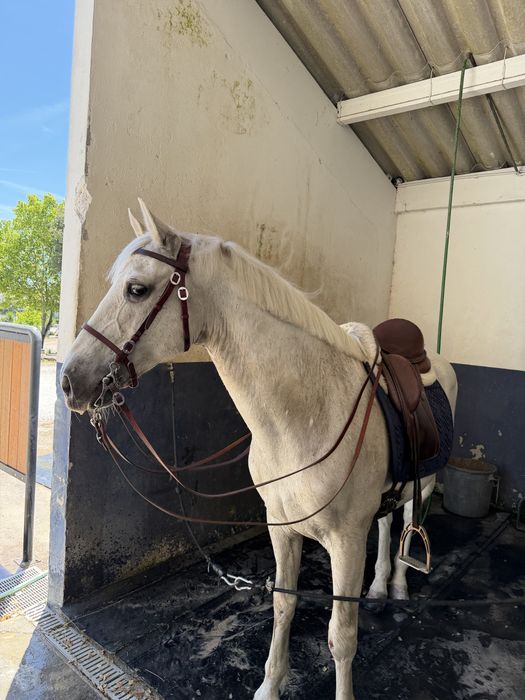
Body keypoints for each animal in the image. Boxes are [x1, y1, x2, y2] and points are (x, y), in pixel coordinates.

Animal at [61, 199, 457, 700]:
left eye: (136, 289)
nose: (69, 381)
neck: (304, 417)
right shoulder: (281, 528)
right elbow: (283, 606)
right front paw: (270, 685)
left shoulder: (346, 542)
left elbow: (342, 636)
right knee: (388, 523)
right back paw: (380, 588)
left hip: (423, 481)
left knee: (407, 519)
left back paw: (400, 586)